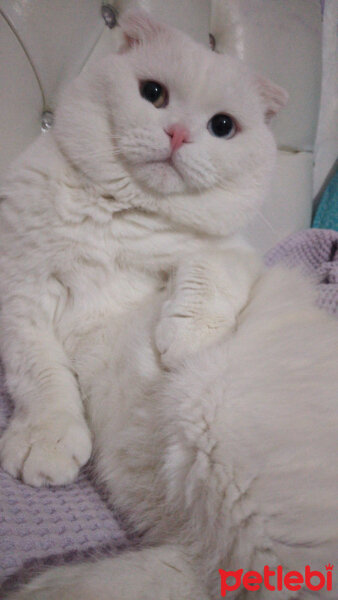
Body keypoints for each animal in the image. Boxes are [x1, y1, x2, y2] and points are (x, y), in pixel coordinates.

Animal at [1, 8, 336, 600]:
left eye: (222, 126)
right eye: (152, 93)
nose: (178, 134)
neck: (119, 214)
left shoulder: (235, 253)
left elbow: (204, 273)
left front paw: (180, 341)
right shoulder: (20, 288)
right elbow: (40, 376)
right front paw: (46, 444)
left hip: (216, 421)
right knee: (201, 572)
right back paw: (49, 586)